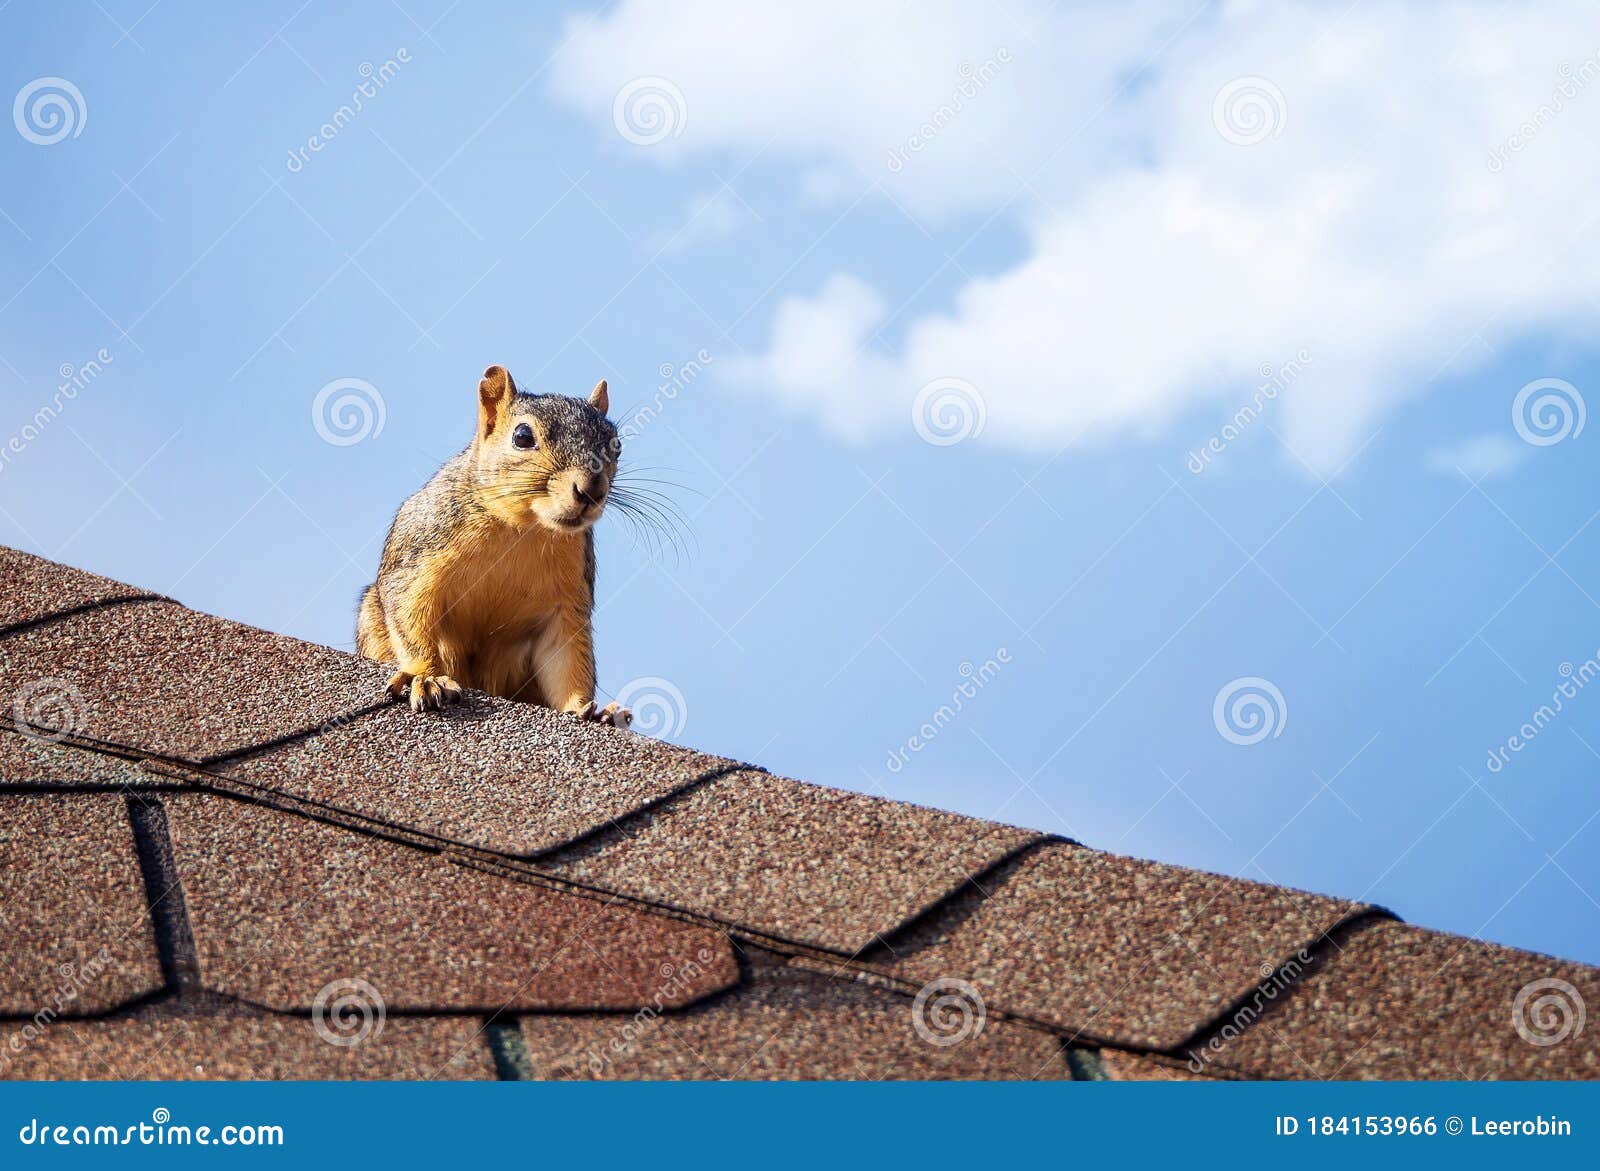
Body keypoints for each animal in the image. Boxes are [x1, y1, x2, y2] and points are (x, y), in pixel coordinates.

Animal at [355, 364, 632, 726]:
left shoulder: (567, 601)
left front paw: (585, 708)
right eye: (522, 437)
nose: (592, 490)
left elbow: (566, 659)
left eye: (617, 445)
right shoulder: (418, 560)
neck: (523, 530)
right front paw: (426, 676)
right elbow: (411, 615)